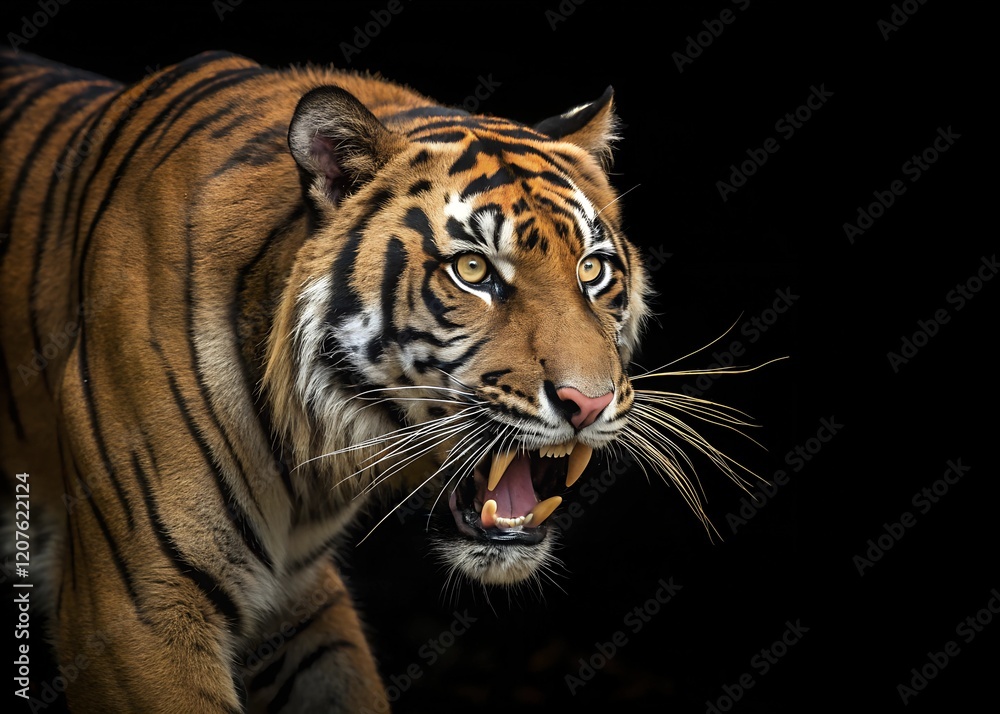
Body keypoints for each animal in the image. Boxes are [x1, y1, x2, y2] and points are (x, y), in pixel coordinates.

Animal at [0, 50, 754, 712]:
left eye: (592, 269)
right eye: (474, 270)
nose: (588, 403)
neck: (306, 456)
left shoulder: (300, 602)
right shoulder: (136, 611)